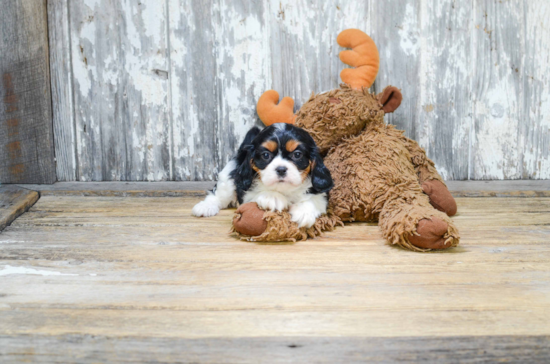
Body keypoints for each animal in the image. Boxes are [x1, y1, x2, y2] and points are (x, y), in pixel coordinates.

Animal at [192, 123, 334, 229]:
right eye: (266, 155)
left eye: (297, 154)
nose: (281, 169)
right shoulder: (247, 193)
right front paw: (273, 197)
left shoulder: (321, 194)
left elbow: (314, 199)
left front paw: (303, 211)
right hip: (228, 175)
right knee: (218, 195)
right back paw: (205, 207)